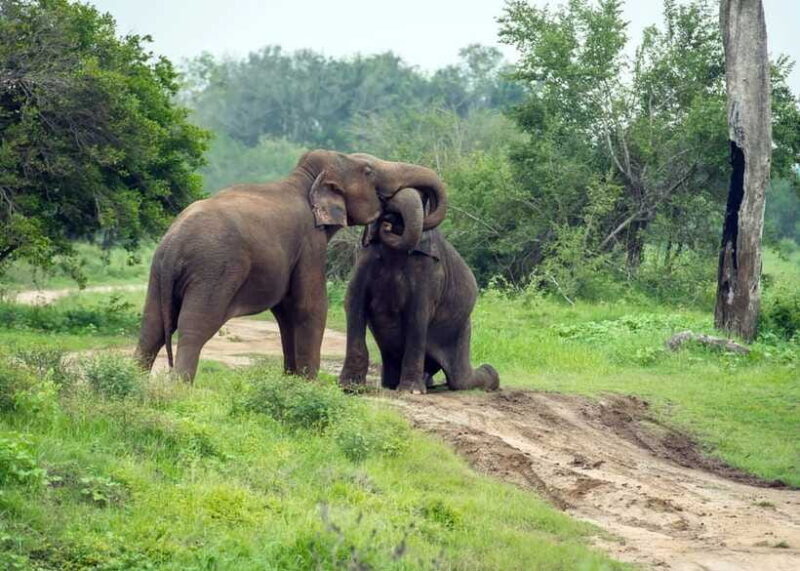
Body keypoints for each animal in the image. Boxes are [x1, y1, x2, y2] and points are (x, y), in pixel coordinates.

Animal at [135, 150, 447, 382]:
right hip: (212, 272)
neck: (305, 179)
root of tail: (173, 246)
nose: (388, 223)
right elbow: (310, 306)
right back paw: (178, 389)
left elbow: (287, 313)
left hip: (157, 273)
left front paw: (291, 381)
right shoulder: (310, 243)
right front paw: (308, 385)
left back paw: (137, 382)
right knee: (194, 327)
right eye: (368, 171)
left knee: (151, 326)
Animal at [338, 187, 499, 393]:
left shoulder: (428, 269)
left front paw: (411, 391)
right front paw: (349, 386)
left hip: (461, 332)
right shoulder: (365, 257)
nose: (386, 224)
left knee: (460, 380)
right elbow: (353, 302)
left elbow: (418, 314)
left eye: (423, 197)